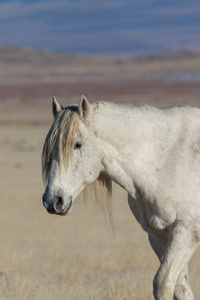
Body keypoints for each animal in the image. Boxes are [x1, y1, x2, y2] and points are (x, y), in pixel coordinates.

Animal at [41, 95, 200, 298]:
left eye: (77, 144)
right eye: (50, 148)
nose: (52, 200)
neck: (164, 159)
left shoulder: (186, 232)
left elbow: (163, 283)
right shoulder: (159, 235)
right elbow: (180, 289)